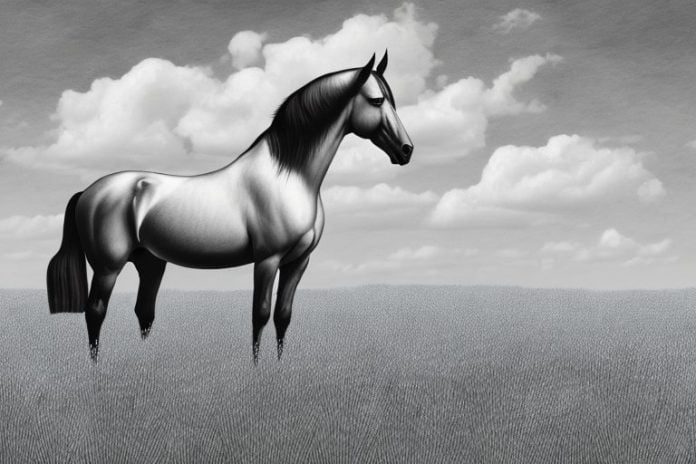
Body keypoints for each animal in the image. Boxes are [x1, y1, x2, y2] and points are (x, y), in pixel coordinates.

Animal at [46, 51, 413, 364]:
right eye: (377, 100)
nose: (406, 150)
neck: (288, 177)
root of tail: (89, 191)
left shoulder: (299, 261)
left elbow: (283, 316)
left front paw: (279, 368)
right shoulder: (267, 260)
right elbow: (260, 314)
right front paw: (257, 371)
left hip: (150, 261)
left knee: (144, 311)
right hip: (108, 267)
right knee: (96, 311)